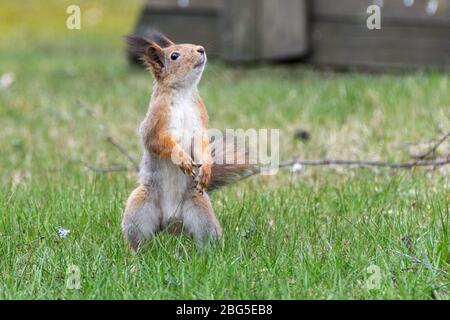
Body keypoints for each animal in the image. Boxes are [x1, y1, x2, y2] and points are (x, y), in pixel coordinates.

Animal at [123, 31, 255, 251]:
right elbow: (160, 143)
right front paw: (183, 159)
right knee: (137, 239)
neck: (183, 94)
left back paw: (208, 254)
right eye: (174, 55)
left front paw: (206, 168)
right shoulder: (154, 126)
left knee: (206, 237)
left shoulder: (199, 124)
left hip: (201, 212)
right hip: (139, 208)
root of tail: (171, 224)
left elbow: (201, 145)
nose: (201, 49)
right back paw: (135, 255)